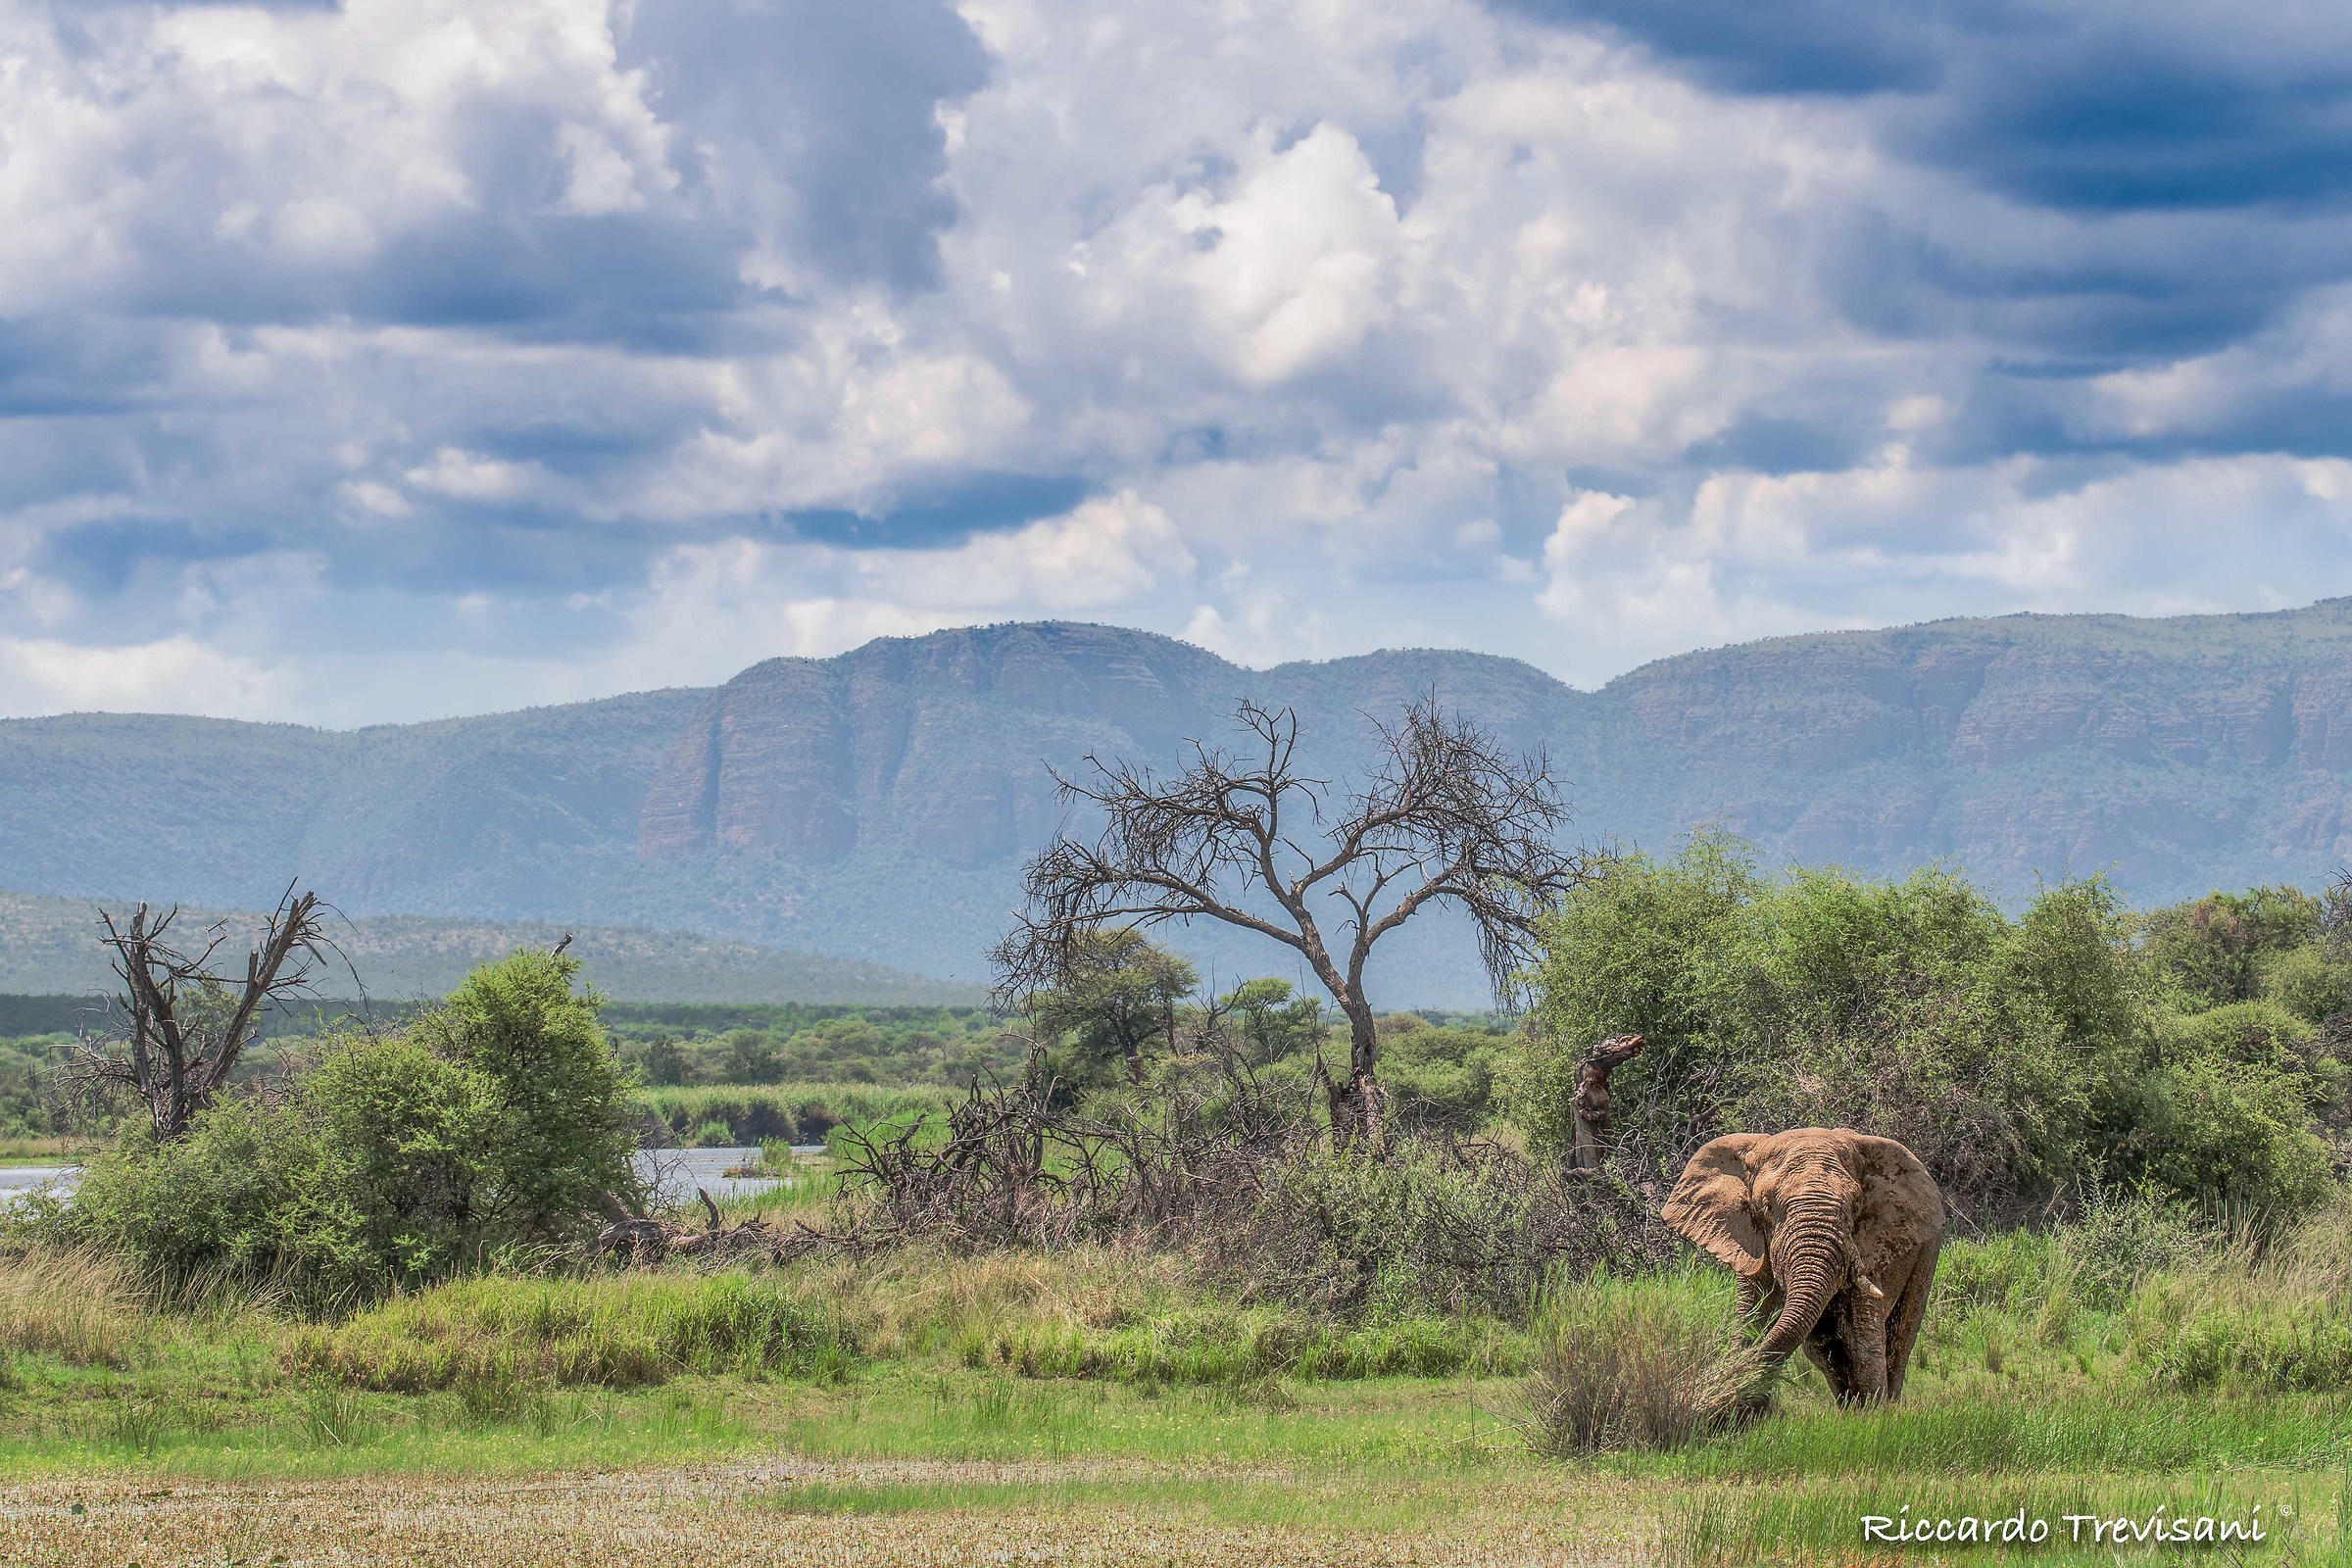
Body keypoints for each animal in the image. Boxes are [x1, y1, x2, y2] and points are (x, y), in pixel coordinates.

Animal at [1661, 1128, 1943, 1405]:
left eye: (1855, 1207)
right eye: (1767, 1206)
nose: (1700, 1397)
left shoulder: (1868, 1248)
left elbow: (1861, 1340)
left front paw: (1873, 1414)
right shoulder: (1752, 1244)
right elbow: (1751, 1319)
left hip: (1928, 1249)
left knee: (1898, 1339)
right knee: (1825, 1348)